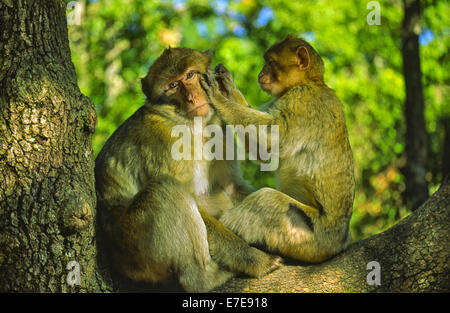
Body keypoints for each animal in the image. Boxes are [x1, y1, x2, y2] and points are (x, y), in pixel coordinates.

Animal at [94, 47, 282, 292]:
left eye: (190, 75)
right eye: (173, 85)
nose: (192, 97)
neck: (191, 125)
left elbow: (231, 186)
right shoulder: (163, 141)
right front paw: (254, 259)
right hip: (133, 251)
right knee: (165, 190)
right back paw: (205, 278)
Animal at [200, 34, 356, 264]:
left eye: (271, 62)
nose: (261, 73)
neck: (309, 82)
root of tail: (340, 243)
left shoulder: (302, 101)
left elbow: (273, 140)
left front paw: (218, 97)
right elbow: (263, 152)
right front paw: (228, 88)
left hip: (310, 236)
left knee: (268, 201)